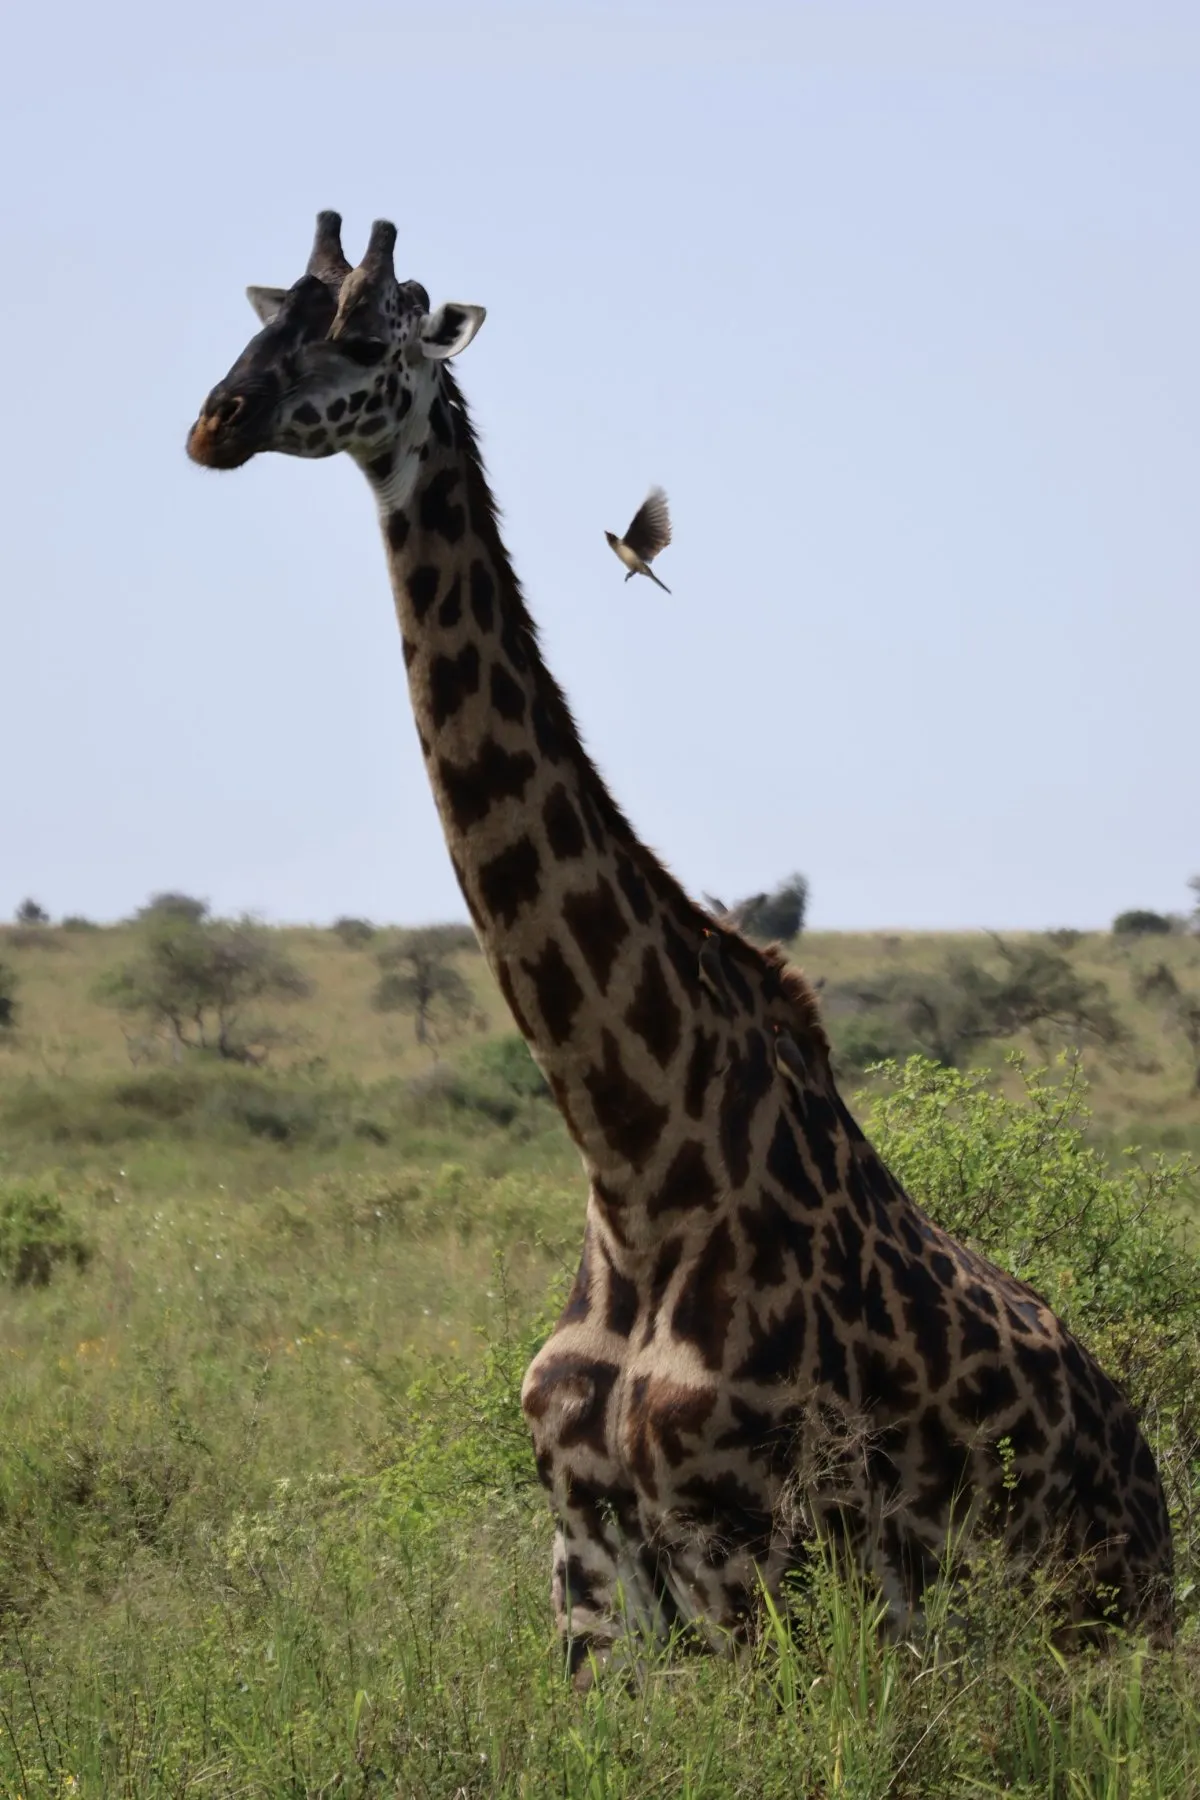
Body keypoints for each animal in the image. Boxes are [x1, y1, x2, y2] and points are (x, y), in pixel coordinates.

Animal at [187, 212, 1174, 1685]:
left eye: (369, 333)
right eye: (265, 322)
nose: (218, 421)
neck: (635, 1162)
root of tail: (1148, 1470)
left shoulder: (750, 1557)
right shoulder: (590, 1570)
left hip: (1086, 1619)